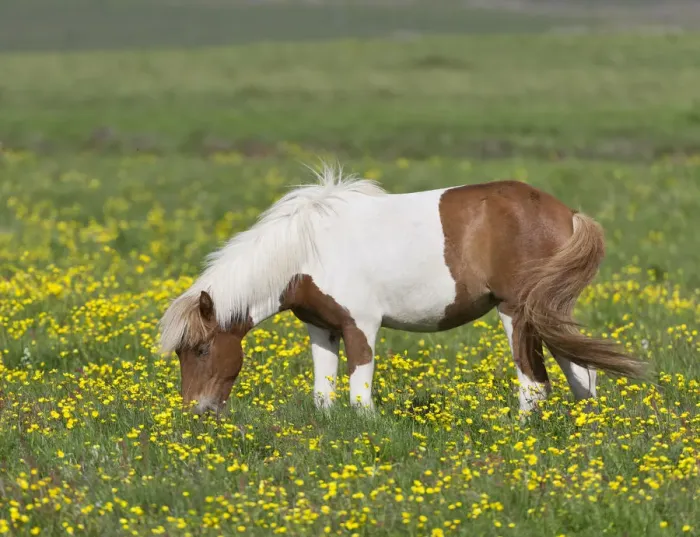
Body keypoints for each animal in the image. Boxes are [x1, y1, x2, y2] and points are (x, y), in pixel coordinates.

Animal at [158, 164, 645, 415]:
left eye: (201, 349)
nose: (195, 411)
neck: (306, 251)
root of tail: (567, 213)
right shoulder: (320, 328)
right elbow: (323, 393)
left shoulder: (361, 325)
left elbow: (359, 392)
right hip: (548, 311)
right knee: (581, 373)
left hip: (517, 311)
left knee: (534, 383)